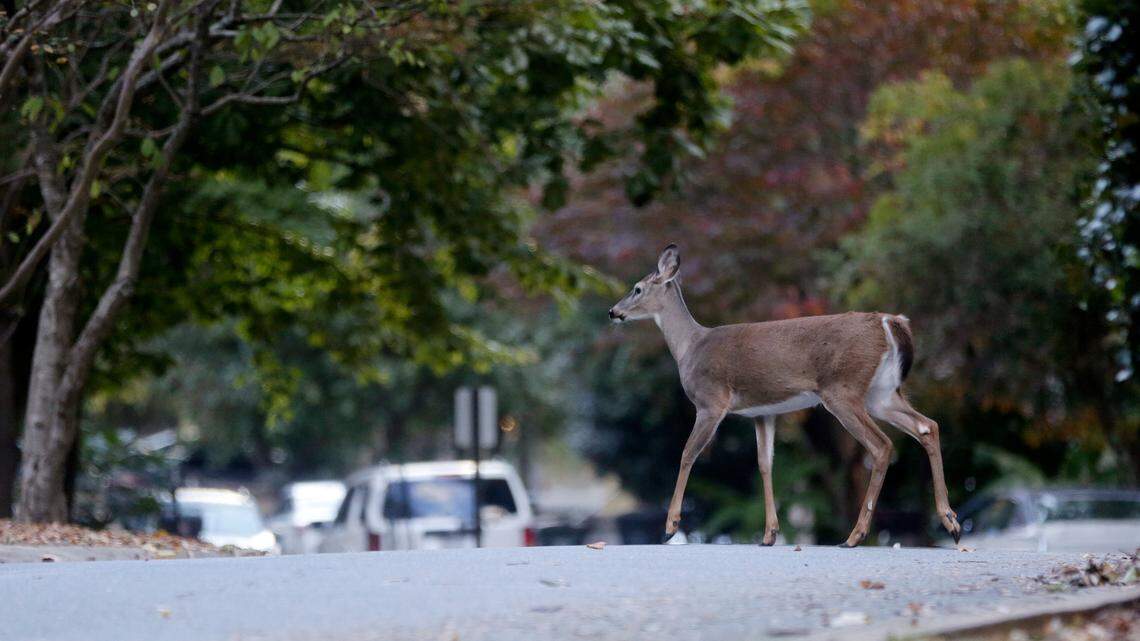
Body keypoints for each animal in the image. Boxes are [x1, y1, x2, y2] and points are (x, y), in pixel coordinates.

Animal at [608, 244, 961, 548]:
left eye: (637, 289)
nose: (612, 311)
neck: (690, 347)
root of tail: (890, 321)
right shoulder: (763, 412)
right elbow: (765, 464)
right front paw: (769, 534)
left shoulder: (711, 401)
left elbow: (687, 454)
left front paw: (670, 526)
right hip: (881, 392)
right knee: (927, 426)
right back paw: (951, 522)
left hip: (842, 389)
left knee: (882, 445)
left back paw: (855, 536)